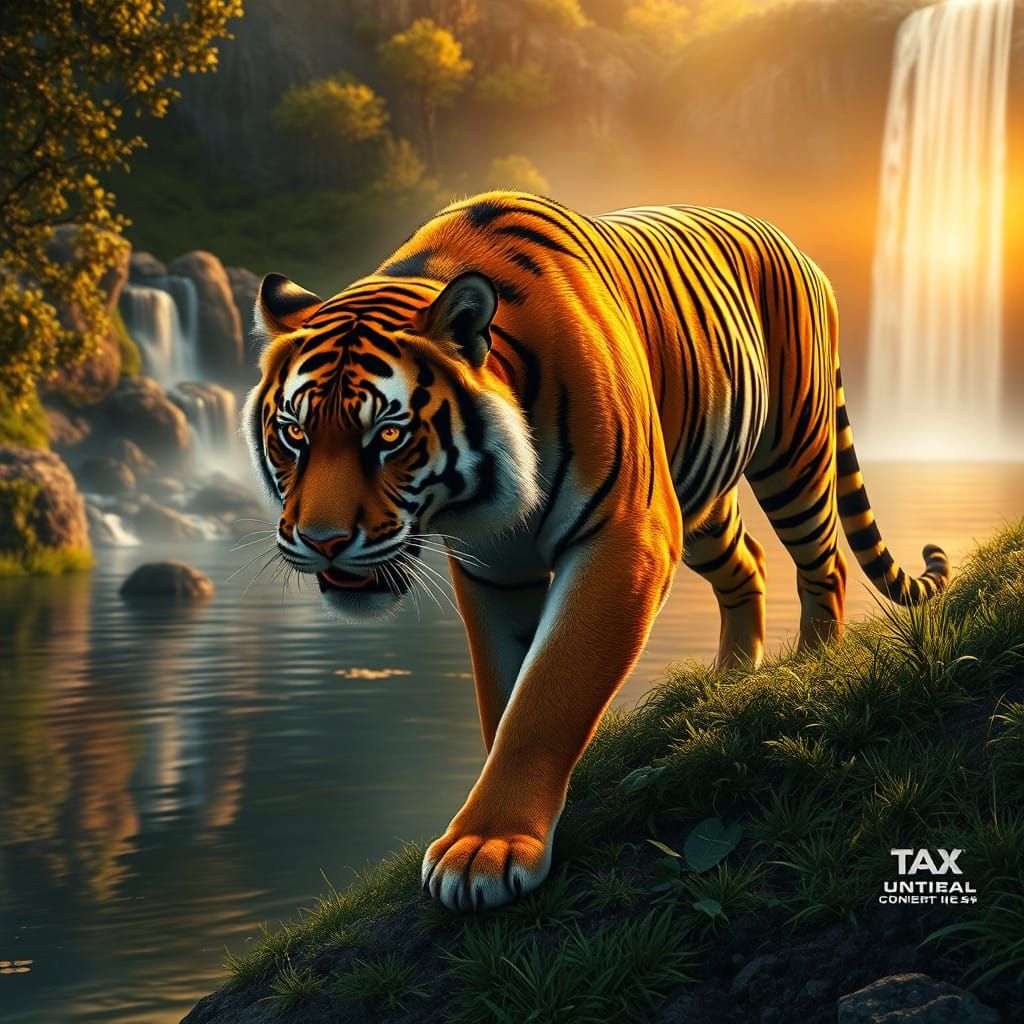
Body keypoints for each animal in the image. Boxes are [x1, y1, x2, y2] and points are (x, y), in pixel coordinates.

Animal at [246, 190, 950, 912]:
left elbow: (549, 692)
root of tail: (796, 247)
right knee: (748, 562)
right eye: (294, 434)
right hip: (697, 499)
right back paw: (727, 681)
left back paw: (808, 668)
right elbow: (504, 696)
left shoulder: (625, 538)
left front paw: (487, 849)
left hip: (792, 450)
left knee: (824, 562)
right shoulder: (493, 569)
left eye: (388, 435)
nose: (323, 541)